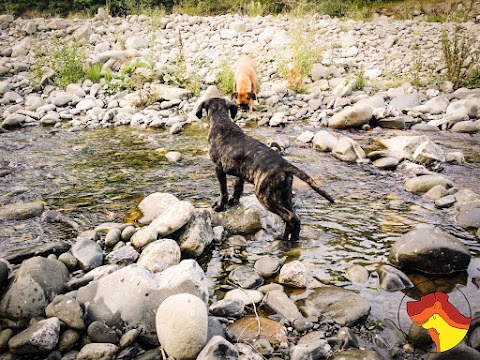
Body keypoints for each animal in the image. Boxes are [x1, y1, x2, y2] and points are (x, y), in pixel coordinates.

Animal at [195, 97, 334, 242]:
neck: (221, 120)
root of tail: (284, 164)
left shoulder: (219, 168)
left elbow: (223, 191)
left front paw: (220, 206)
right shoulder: (240, 172)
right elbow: (238, 188)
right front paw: (233, 201)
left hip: (265, 196)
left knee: (290, 217)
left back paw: (282, 237)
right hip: (285, 196)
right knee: (296, 218)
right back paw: (293, 238)